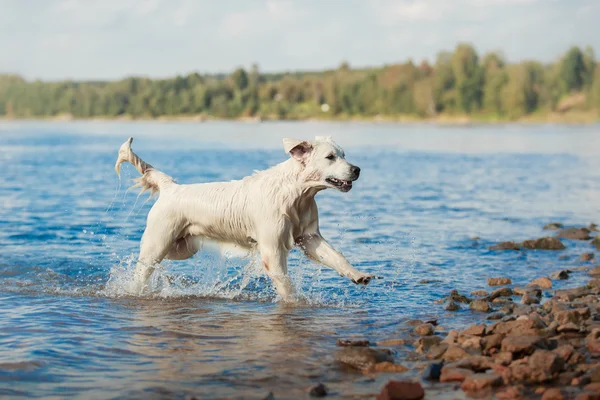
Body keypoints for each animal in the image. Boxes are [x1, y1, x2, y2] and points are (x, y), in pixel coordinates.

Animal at [115, 135, 372, 300]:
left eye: (344, 155)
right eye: (330, 157)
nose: (357, 169)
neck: (297, 194)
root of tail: (170, 187)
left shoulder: (310, 238)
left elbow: (336, 256)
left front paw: (358, 275)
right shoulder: (272, 248)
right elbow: (285, 284)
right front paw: (295, 302)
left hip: (182, 248)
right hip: (158, 243)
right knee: (142, 268)